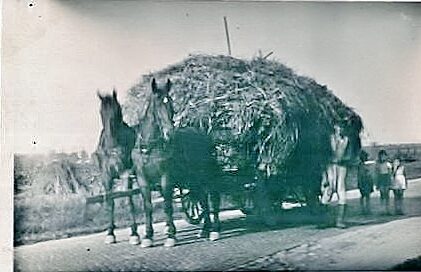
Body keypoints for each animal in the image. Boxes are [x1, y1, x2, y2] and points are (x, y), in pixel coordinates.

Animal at [131, 78, 221, 246]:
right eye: (157, 105)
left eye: (171, 104)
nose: (170, 134)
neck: (149, 148)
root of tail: (203, 135)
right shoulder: (143, 180)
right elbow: (148, 207)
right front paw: (147, 236)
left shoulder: (166, 178)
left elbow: (167, 206)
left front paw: (171, 236)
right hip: (194, 179)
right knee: (203, 199)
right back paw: (205, 229)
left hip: (207, 176)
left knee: (212, 197)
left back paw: (214, 230)